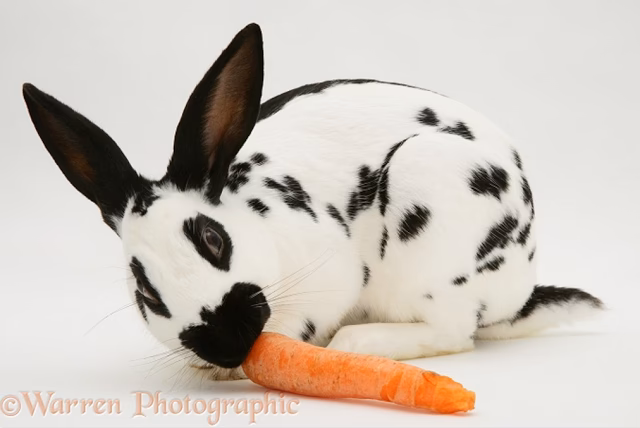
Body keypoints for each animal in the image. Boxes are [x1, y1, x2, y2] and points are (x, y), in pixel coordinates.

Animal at [22, 23, 603, 381]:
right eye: (144, 289)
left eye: (213, 240)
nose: (227, 344)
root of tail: (521, 289)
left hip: (432, 208)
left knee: (454, 332)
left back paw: (358, 343)